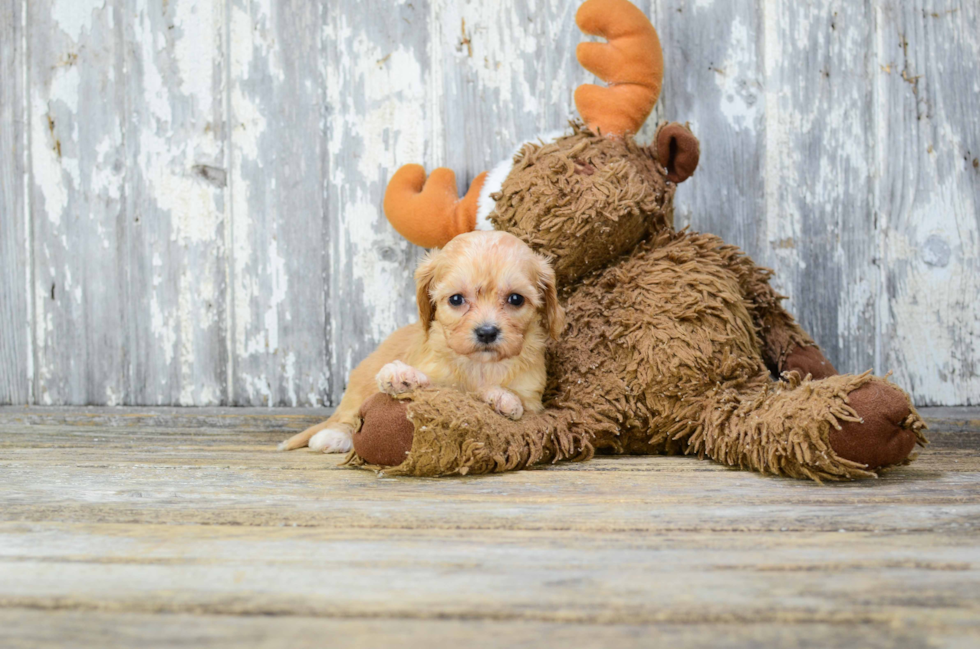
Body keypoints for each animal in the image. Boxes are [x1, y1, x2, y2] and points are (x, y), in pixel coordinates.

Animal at [280, 230, 564, 454]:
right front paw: (402, 376)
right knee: (347, 419)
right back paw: (334, 436)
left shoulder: (532, 400)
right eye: (456, 299)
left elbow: (507, 401)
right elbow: (436, 386)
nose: (486, 332)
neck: (479, 365)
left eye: (516, 299)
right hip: (357, 392)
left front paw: (501, 398)